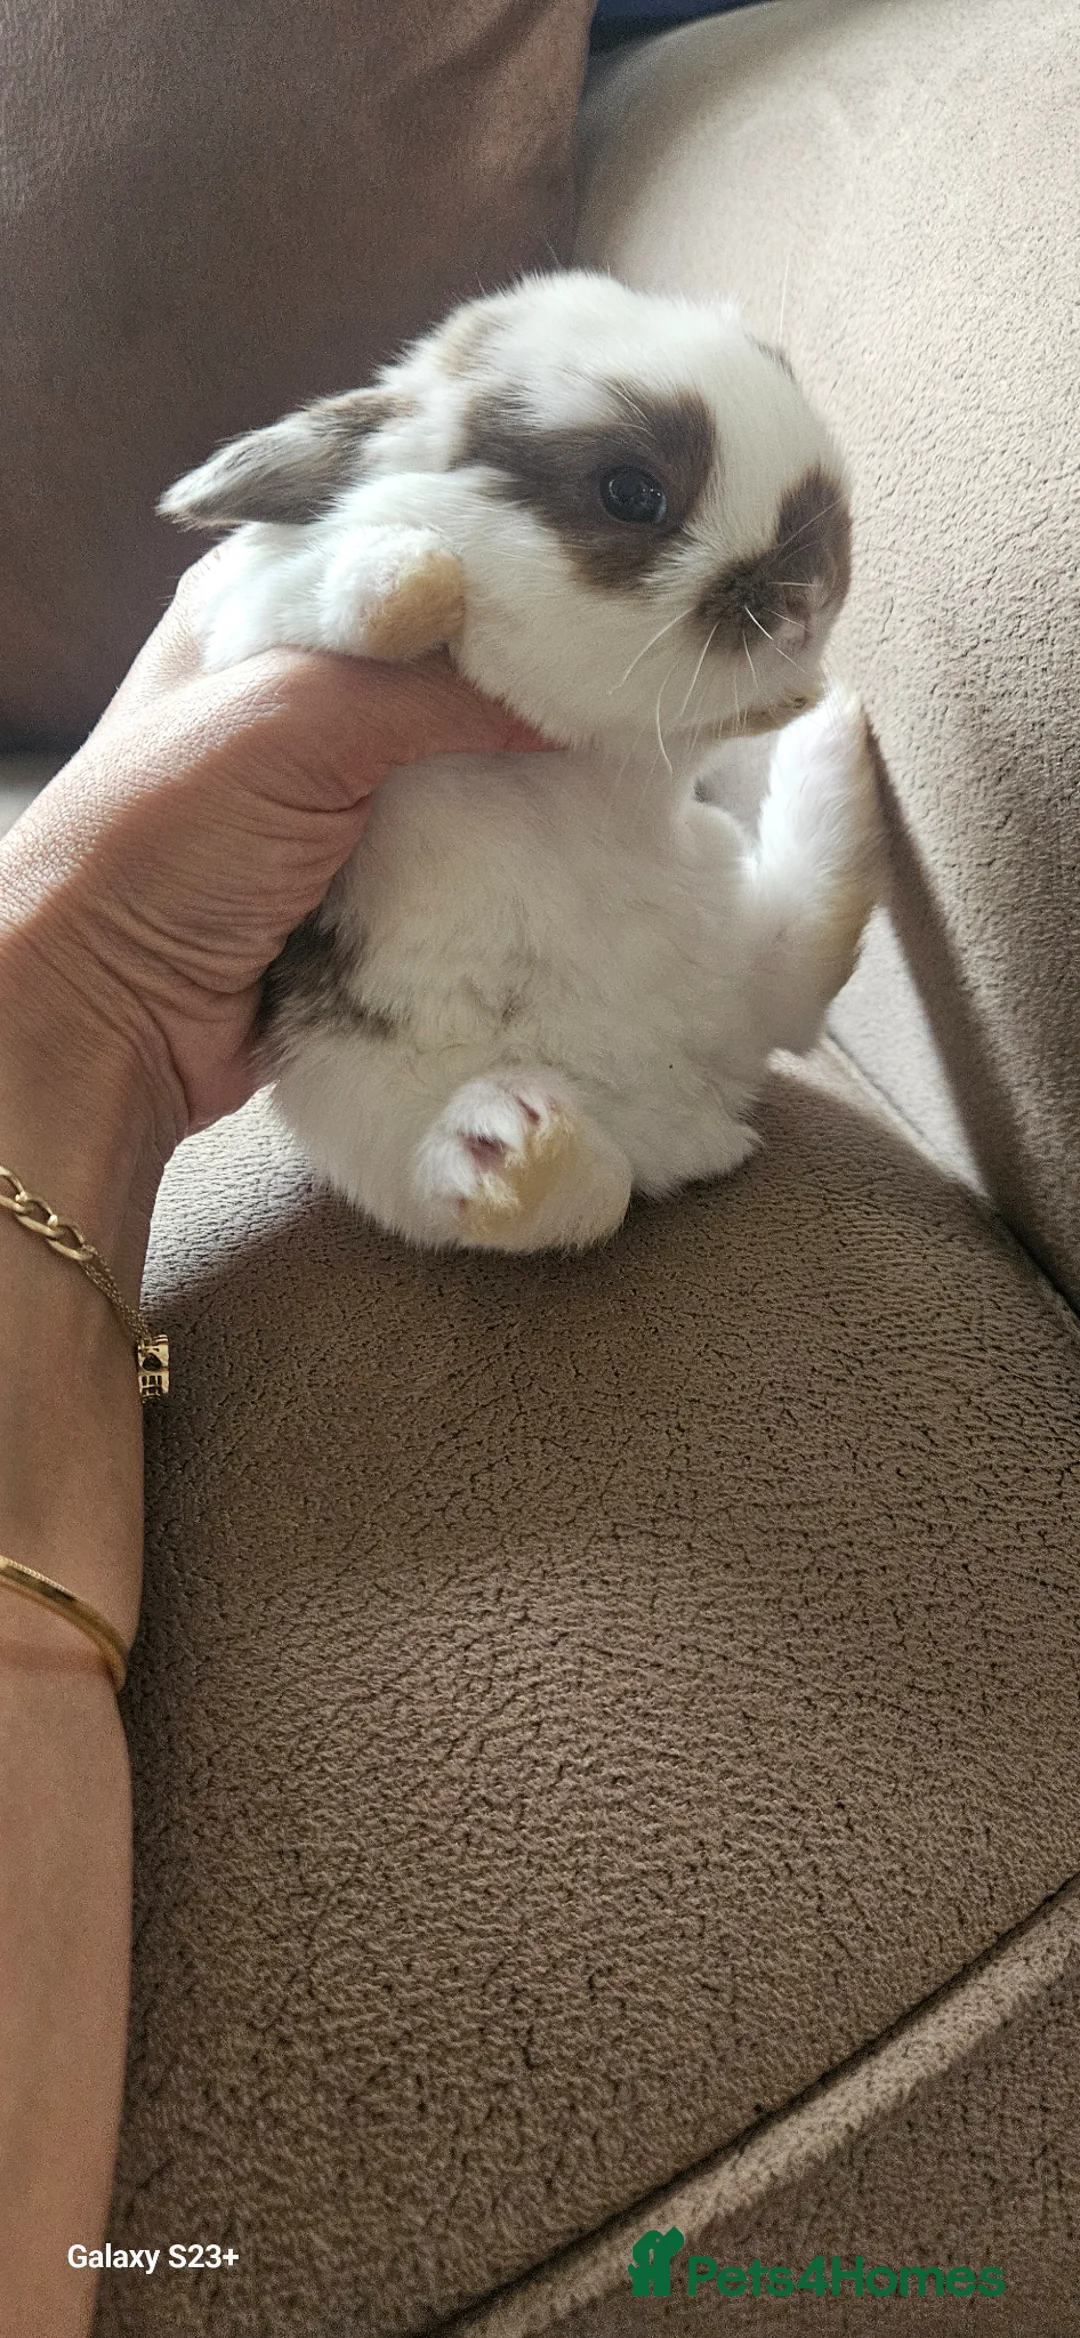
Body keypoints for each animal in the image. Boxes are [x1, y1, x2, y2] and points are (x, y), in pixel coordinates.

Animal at [160, 270, 880, 1252]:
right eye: (631, 493)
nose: (809, 602)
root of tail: (677, 1103)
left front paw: (793, 696)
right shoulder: (264, 620)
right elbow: (345, 590)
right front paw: (423, 582)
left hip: (745, 933)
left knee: (812, 944)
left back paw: (837, 729)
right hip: (366, 1121)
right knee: (560, 1195)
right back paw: (507, 1142)